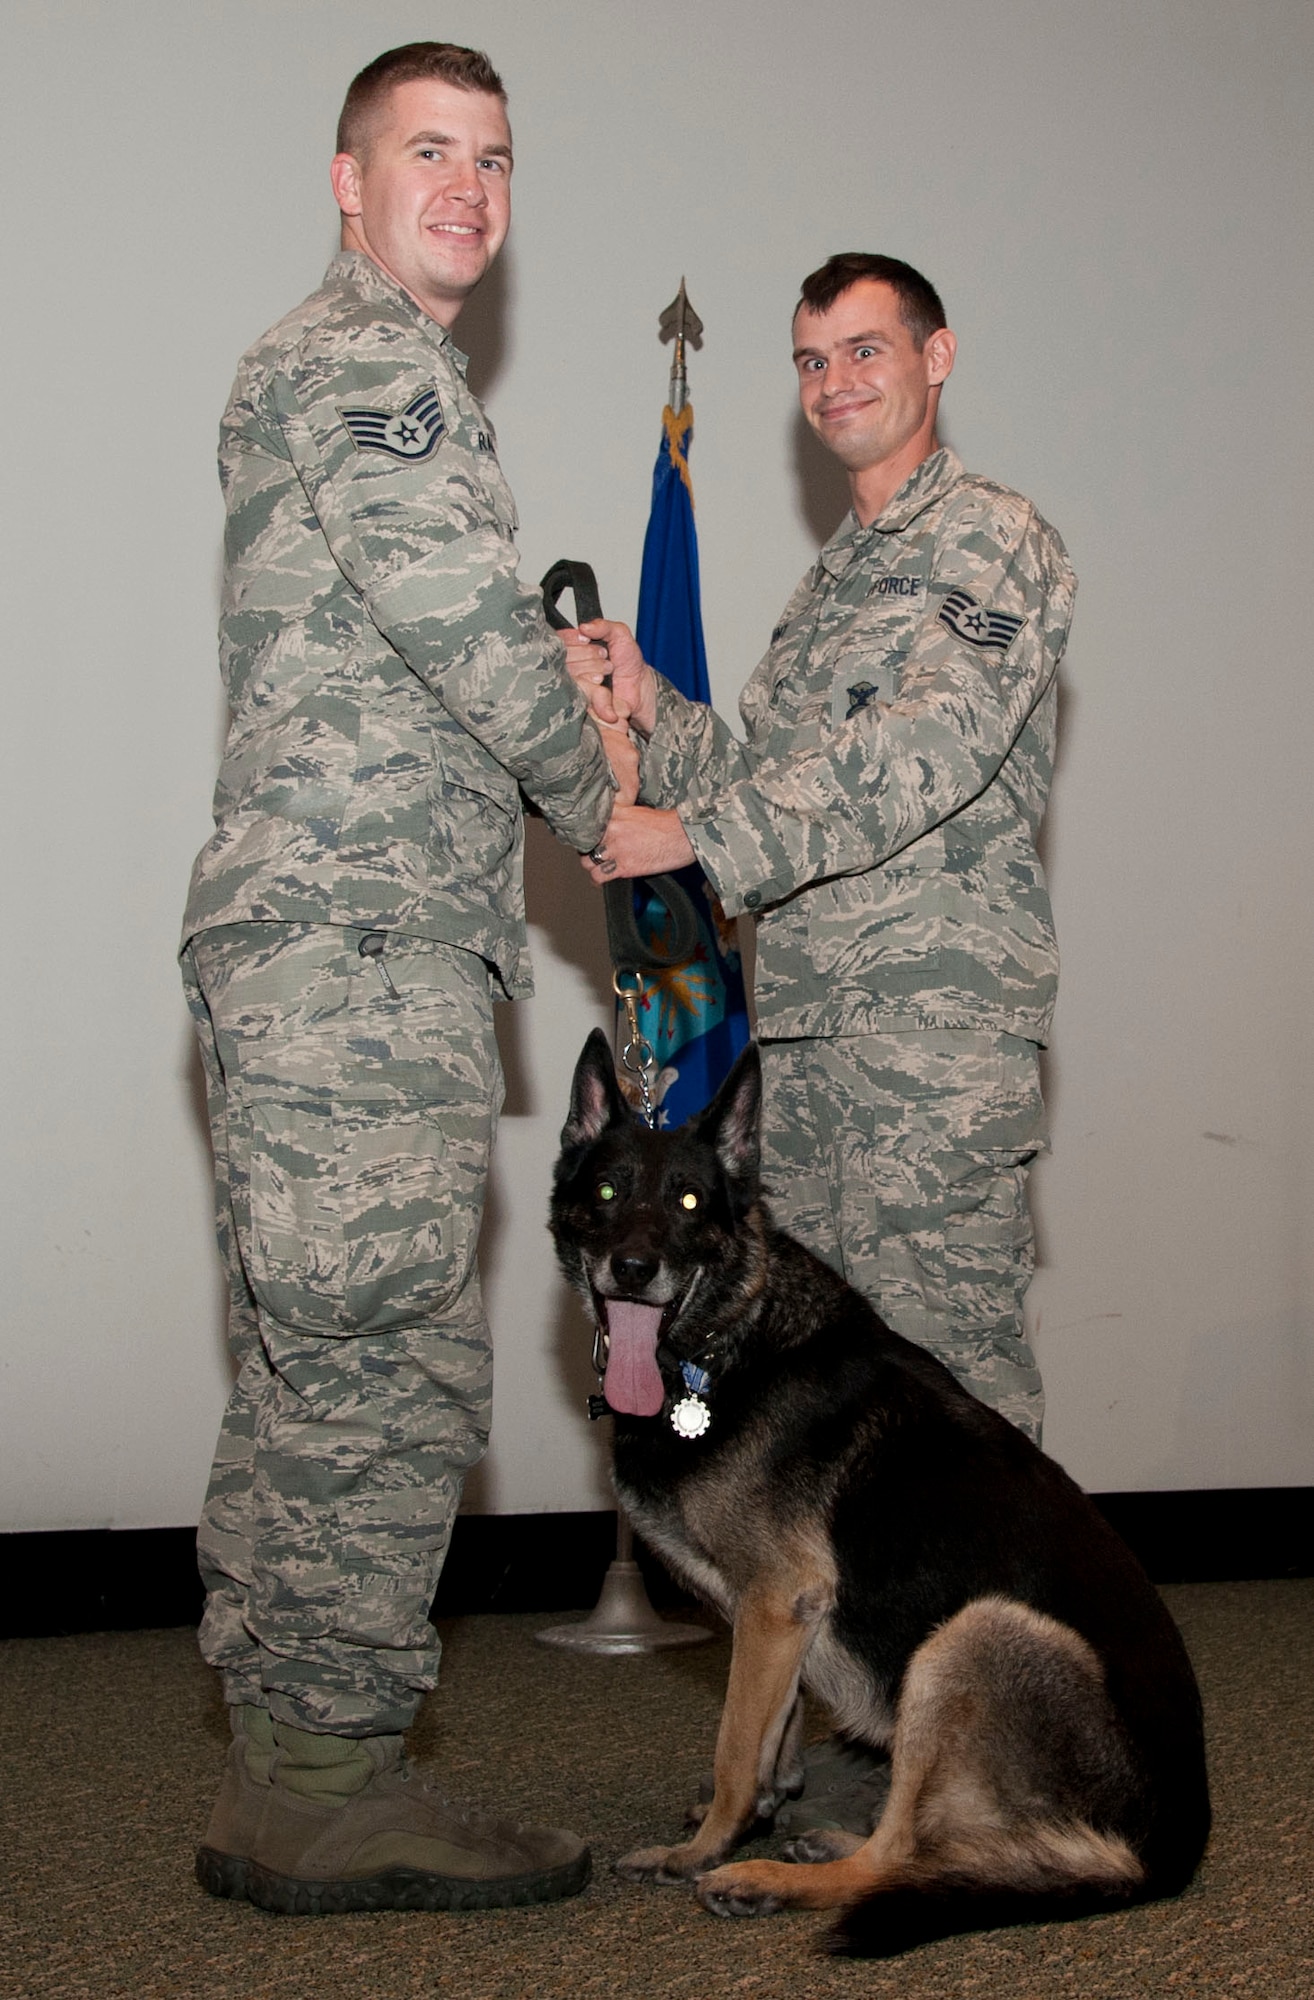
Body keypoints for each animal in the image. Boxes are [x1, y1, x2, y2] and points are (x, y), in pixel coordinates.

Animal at [544, 1032, 1208, 1952]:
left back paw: (773, 1878)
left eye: (687, 1200)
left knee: (902, 1851)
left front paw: (706, 1848)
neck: (730, 1344)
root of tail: (1169, 1852)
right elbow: (771, 1735)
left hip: (974, 1635)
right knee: (930, 1833)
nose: (634, 1268)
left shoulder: (775, 1600)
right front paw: (764, 1806)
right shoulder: (776, 1619)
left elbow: (733, 1745)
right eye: (607, 1192)